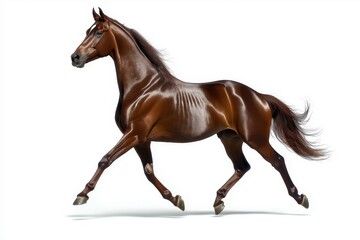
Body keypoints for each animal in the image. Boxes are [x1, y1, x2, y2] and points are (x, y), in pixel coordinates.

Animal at [71, 7, 326, 216]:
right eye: (87, 30)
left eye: (98, 32)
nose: (75, 57)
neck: (142, 87)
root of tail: (260, 96)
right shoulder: (141, 139)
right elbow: (149, 171)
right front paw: (176, 199)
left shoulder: (134, 133)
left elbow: (105, 160)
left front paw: (82, 195)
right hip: (230, 138)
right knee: (242, 167)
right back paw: (218, 201)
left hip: (255, 139)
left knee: (278, 161)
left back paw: (300, 197)